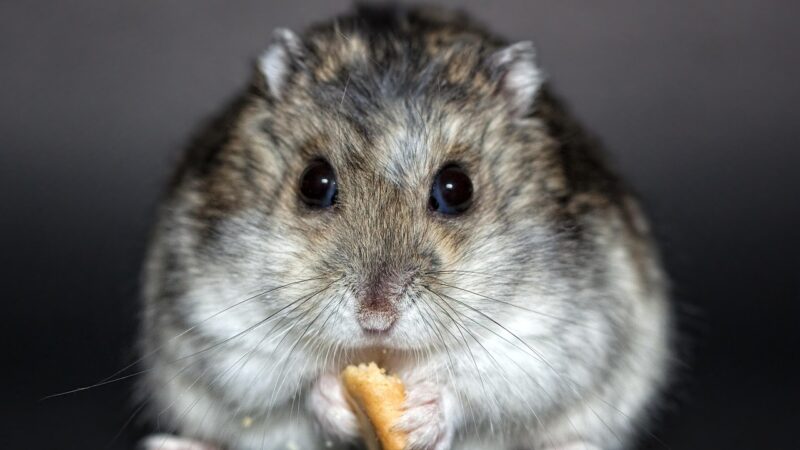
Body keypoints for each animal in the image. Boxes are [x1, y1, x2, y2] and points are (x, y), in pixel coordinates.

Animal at [137, 5, 671, 450]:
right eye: (314, 182)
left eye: (456, 189)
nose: (376, 319)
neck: (386, 354)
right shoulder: (223, 326)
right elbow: (293, 385)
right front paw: (336, 398)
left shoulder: (549, 336)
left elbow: (477, 386)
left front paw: (418, 417)